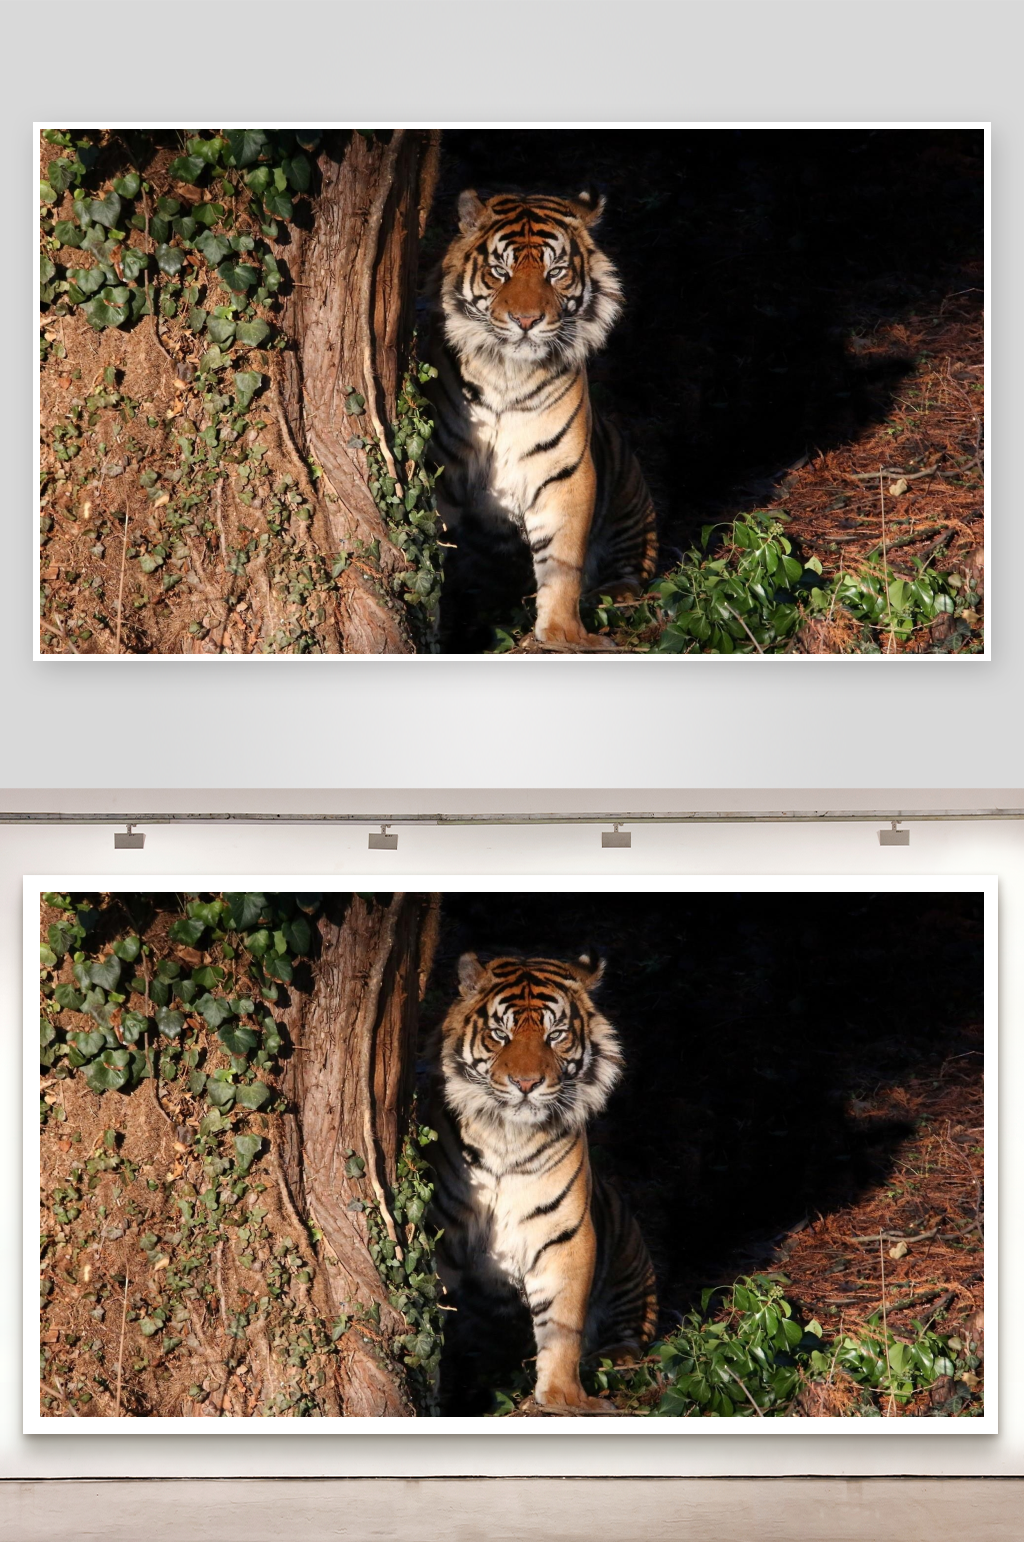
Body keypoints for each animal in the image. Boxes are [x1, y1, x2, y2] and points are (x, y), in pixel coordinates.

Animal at [425, 189, 658, 651]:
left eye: (556, 273)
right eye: (500, 272)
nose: (527, 321)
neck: (506, 374)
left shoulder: (565, 472)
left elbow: (563, 560)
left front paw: (564, 634)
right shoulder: (443, 470)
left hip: (630, 500)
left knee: (632, 572)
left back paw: (606, 597)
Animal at [426, 952, 657, 1413]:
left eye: (556, 1036)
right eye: (500, 1035)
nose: (527, 1084)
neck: (506, 1137)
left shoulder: (565, 1234)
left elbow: (563, 1324)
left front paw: (564, 1397)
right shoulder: (443, 1234)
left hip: (630, 1264)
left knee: (632, 1336)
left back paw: (606, 1360)